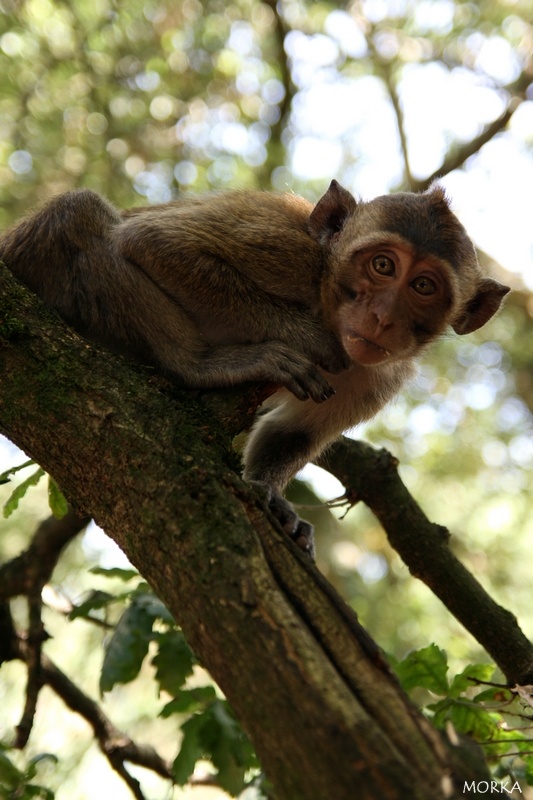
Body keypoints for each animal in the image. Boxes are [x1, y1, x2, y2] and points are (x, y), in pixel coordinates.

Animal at [0, 181, 508, 556]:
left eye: (423, 286)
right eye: (382, 265)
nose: (382, 317)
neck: (323, 294)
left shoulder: (377, 376)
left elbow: (293, 432)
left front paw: (272, 495)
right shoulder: (281, 245)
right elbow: (155, 243)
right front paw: (306, 337)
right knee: (78, 211)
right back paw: (197, 364)